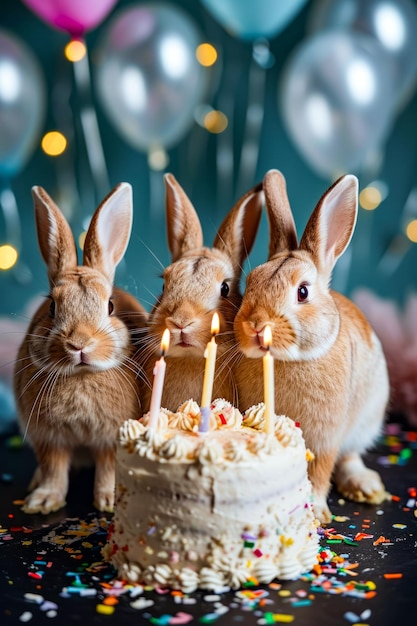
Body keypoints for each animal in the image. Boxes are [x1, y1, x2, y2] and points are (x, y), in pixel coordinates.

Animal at [13, 180, 147, 512]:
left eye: (110, 306)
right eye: (51, 307)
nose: (79, 344)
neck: (82, 376)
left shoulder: (110, 438)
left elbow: (109, 467)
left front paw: (109, 500)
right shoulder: (50, 438)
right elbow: (54, 468)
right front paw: (43, 501)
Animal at [232, 168, 388, 520]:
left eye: (303, 292)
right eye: (250, 283)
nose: (256, 327)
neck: (289, 360)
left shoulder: (325, 437)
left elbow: (319, 472)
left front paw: (315, 512)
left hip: (365, 421)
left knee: (350, 457)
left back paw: (366, 486)